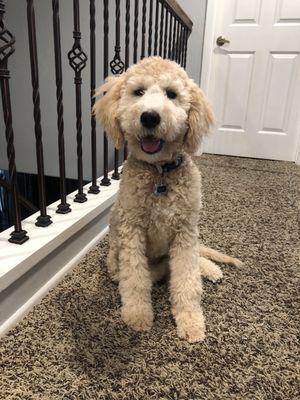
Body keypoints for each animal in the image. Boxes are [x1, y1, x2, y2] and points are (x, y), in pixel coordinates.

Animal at [94, 57, 241, 344]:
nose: (150, 116)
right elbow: (135, 279)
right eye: (138, 91)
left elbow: (187, 279)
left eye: (171, 94)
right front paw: (138, 316)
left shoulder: (185, 233)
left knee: (195, 260)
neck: (160, 173)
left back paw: (210, 269)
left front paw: (191, 321)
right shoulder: (132, 232)